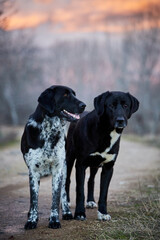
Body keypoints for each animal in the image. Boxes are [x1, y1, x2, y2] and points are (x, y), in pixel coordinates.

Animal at [20, 85, 85, 230]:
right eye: (65, 95)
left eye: (74, 94)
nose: (84, 105)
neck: (49, 131)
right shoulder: (33, 172)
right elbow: (34, 200)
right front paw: (32, 220)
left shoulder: (58, 170)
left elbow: (55, 199)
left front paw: (54, 220)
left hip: (65, 170)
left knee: (64, 192)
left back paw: (66, 212)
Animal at [65, 91, 139, 221]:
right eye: (111, 105)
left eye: (126, 105)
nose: (120, 120)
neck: (106, 132)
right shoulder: (80, 165)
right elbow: (80, 191)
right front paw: (79, 213)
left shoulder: (108, 167)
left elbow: (104, 193)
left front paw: (103, 213)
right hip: (70, 157)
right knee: (68, 180)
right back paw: (66, 202)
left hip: (94, 165)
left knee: (91, 180)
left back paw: (90, 201)